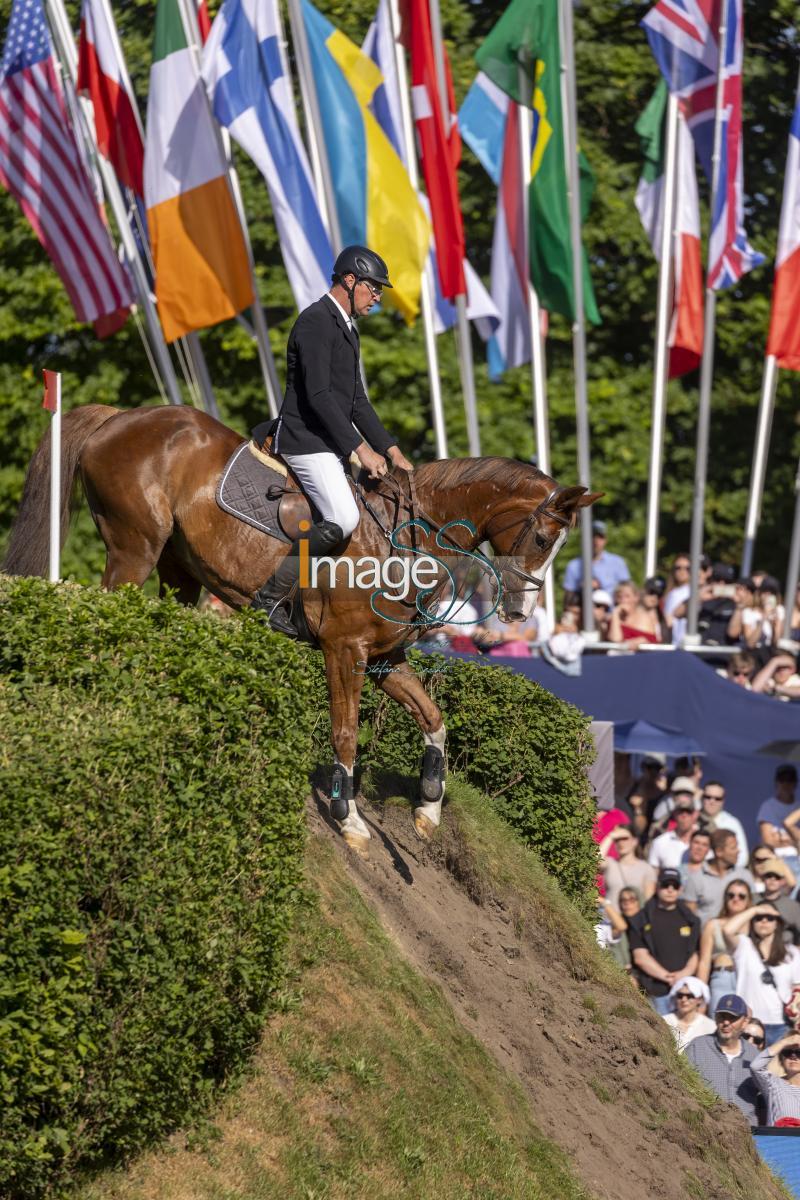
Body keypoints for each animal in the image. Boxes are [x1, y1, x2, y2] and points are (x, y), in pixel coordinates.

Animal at [3, 408, 597, 859]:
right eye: (543, 539)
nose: (520, 611)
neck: (404, 541)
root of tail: (121, 417)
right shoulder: (344, 650)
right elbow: (346, 732)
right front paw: (348, 818)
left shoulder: (384, 659)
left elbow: (434, 719)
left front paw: (428, 805)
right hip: (135, 550)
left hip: (177, 571)